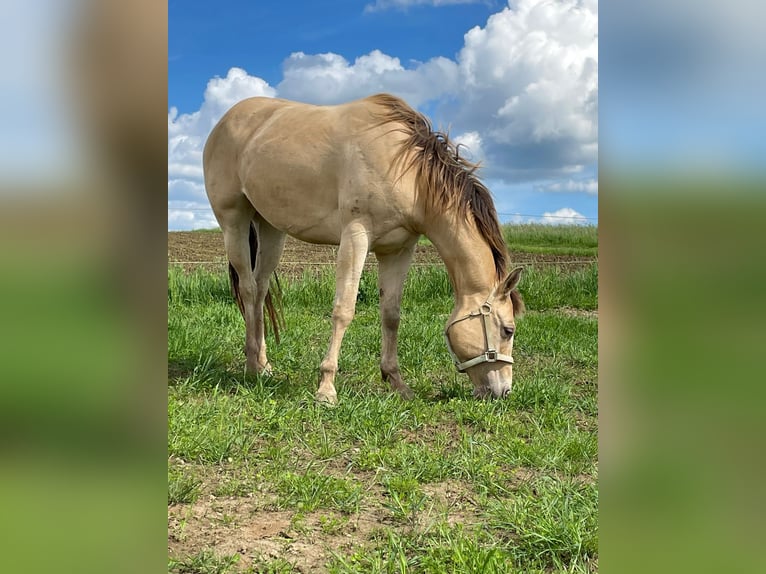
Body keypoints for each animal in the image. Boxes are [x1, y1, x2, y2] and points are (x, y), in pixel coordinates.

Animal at [204, 93, 524, 404]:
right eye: (508, 330)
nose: (503, 392)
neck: (407, 171)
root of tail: (224, 122)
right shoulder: (355, 237)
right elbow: (344, 309)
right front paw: (326, 389)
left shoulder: (398, 250)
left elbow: (391, 315)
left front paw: (397, 383)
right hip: (234, 222)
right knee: (247, 289)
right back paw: (250, 366)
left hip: (271, 229)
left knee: (260, 291)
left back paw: (264, 365)